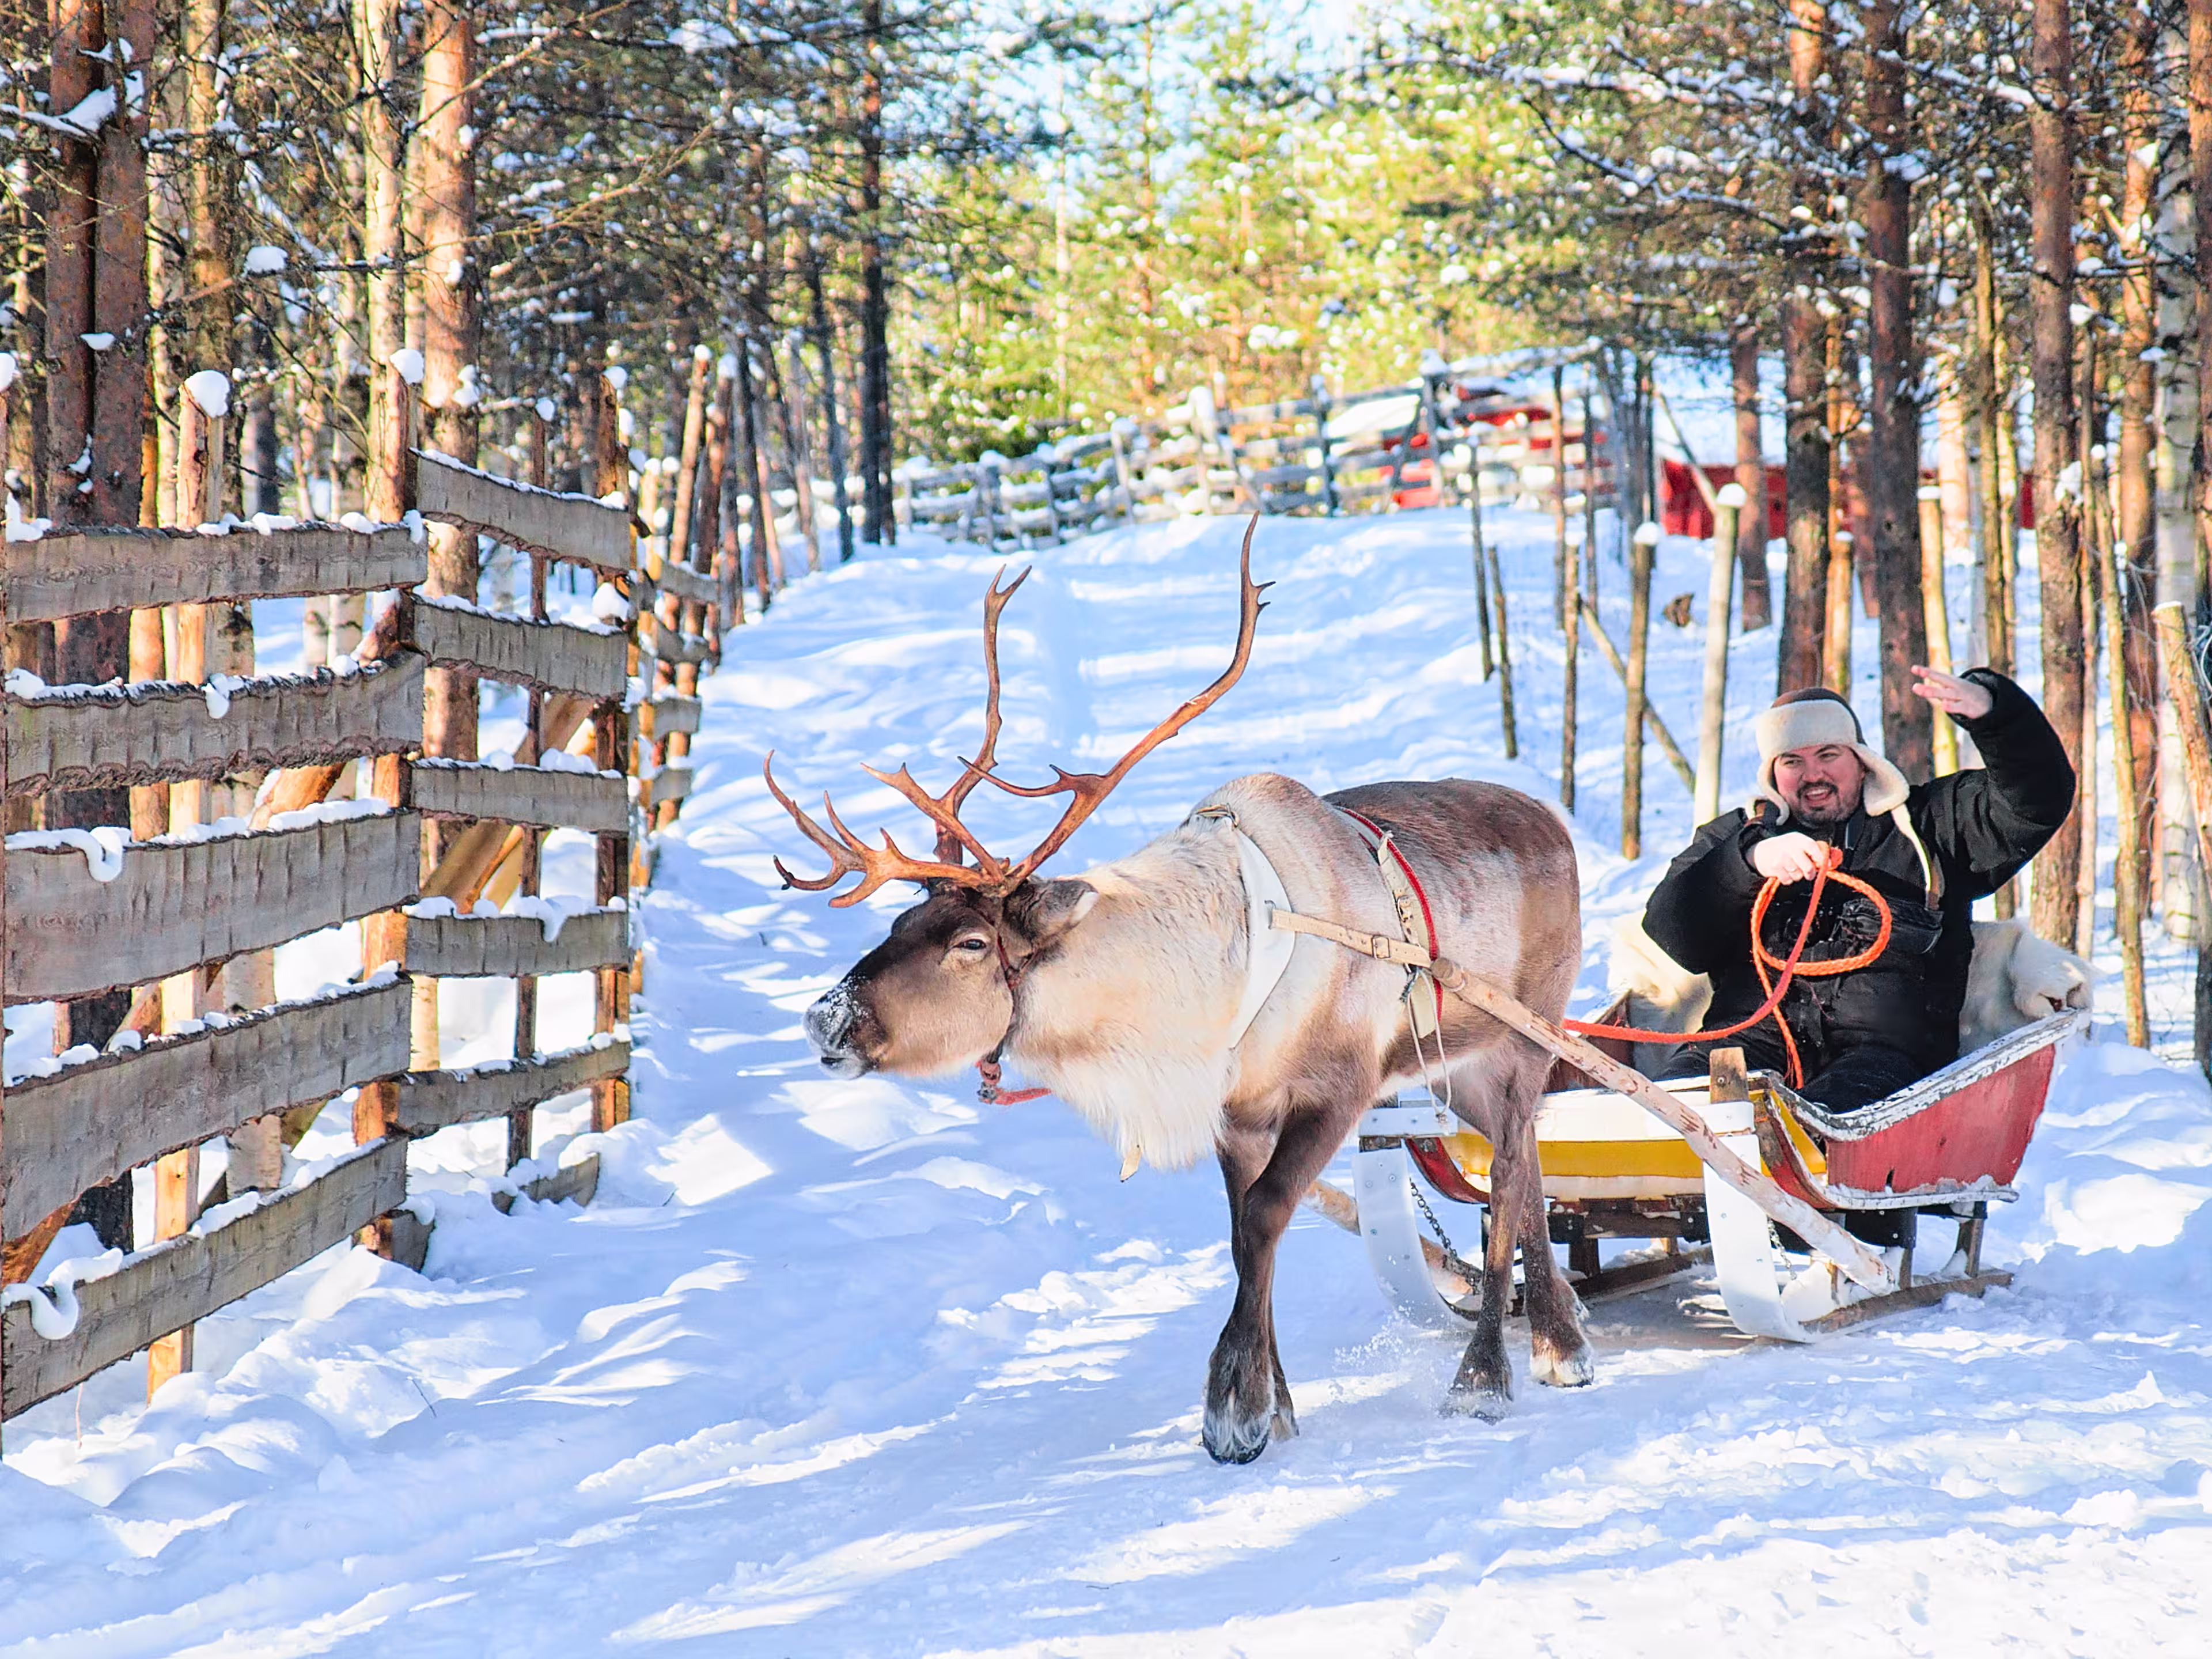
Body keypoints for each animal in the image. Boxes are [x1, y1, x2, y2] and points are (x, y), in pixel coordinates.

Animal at [767, 527, 1593, 1464]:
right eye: (904, 918)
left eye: (971, 944)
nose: (826, 1016)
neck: (1173, 1005)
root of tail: (1552, 817)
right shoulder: (1236, 1112)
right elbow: (1244, 1236)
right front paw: (1276, 1402)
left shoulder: (1337, 1088)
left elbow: (1267, 1216)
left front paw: (1234, 1407)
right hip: (1460, 1066)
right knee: (1527, 1159)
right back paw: (1560, 1337)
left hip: (1525, 1035)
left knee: (1514, 1171)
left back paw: (1489, 1374)